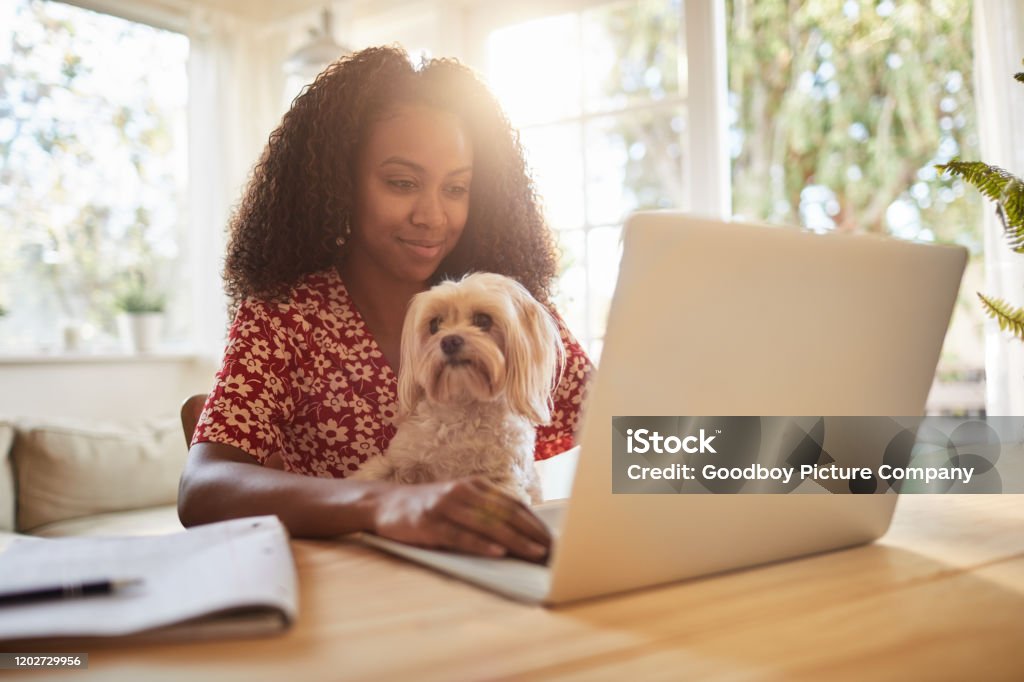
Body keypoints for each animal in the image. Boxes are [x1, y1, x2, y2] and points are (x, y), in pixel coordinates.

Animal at [350, 272, 561, 503]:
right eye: (434, 324)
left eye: (483, 320)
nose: (449, 341)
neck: (463, 402)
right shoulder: (401, 462)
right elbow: (376, 474)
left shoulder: (501, 477)